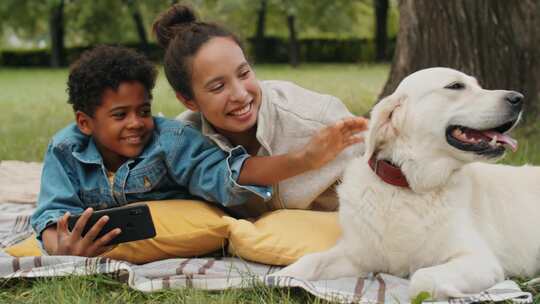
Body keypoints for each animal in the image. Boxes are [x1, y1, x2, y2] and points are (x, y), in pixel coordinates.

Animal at [274, 67, 540, 300]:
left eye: (478, 85)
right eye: (456, 86)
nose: (518, 98)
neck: (407, 188)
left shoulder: (480, 260)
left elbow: (421, 279)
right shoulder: (357, 255)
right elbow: (308, 262)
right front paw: (283, 278)